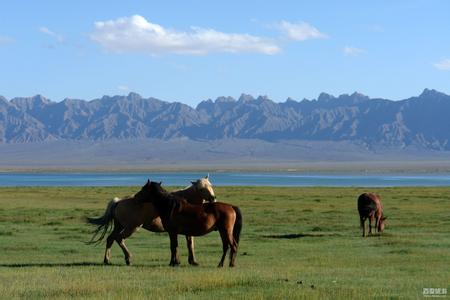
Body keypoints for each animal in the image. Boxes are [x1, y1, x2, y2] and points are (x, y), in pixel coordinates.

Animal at [87, 176, 217, 264]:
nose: (213, 198)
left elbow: (189, 244)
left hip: (119, 226)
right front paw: (187, 261)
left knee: (110, 239)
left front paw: (191, 261)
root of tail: (118, 201)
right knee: (119, 239)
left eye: (210, 185)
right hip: (131, 228)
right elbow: (186, 244)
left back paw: (107, 260)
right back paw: (128, 259)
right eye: (200, 189)